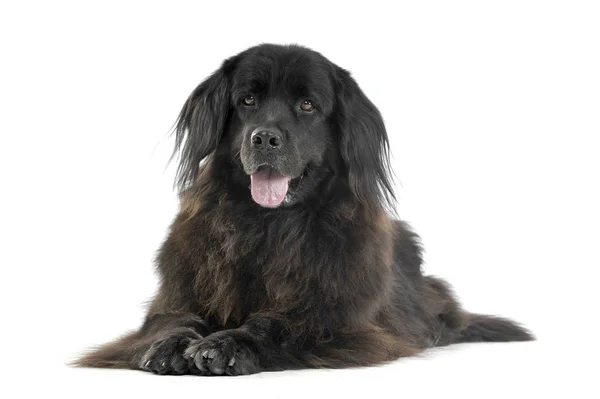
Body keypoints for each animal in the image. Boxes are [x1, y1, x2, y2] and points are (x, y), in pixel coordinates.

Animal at [76, 45, 536, 376]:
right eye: (247, 100)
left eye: (308, 105)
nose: (265, 138)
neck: (266, 226)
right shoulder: (178, 292)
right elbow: (170, 319)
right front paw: (170, 345)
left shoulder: (340, 317)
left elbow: (281, 323)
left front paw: (227, 343)